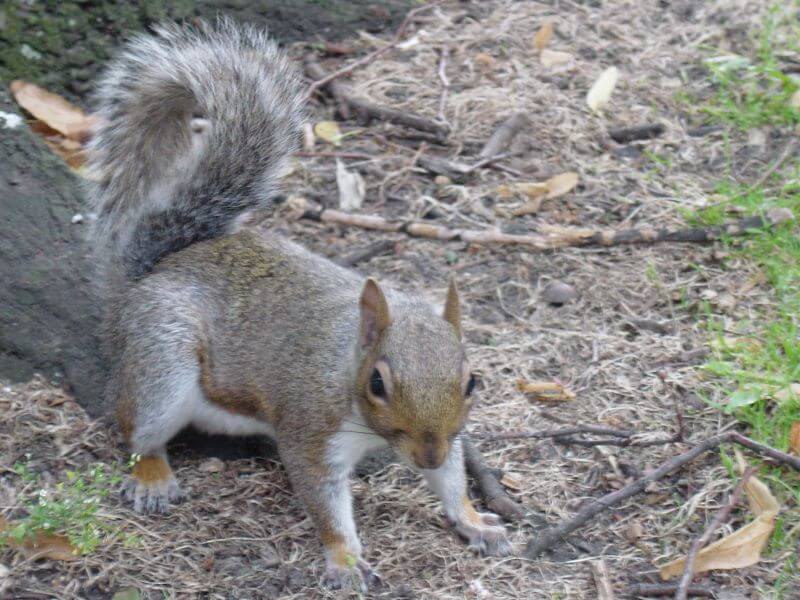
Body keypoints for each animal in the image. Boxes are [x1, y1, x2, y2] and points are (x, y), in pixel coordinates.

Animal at [89, 18, 512, 592]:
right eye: (377, 383)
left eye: (472, 382)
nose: (425, 453)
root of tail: (148, 276)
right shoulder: (311, 431)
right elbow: (323, 499)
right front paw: (346, 562)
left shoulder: (449, 435)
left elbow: (450, 479)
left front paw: (471, 519)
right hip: (162, 356)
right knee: (135, 425)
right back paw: (152, 474)